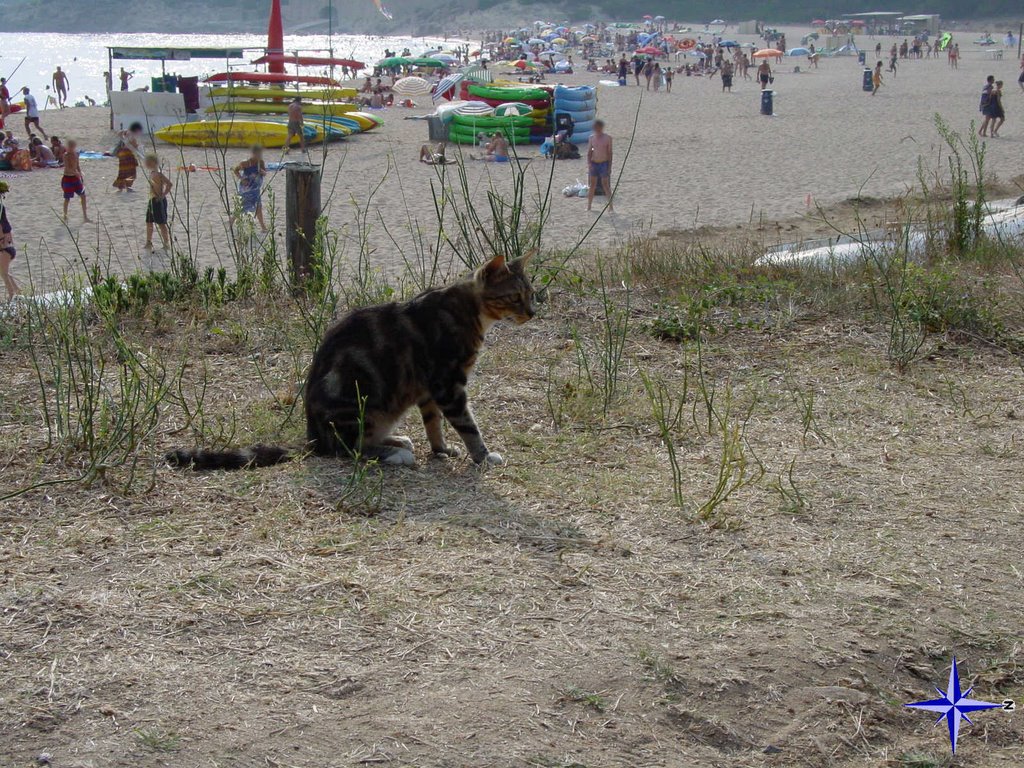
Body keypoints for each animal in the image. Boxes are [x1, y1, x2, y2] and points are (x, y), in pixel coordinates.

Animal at [167, 250, 536, 468]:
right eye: (515, 296)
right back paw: (396, 453)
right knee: (349, 448)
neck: (471, 311)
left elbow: (434, 424)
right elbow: (467, 425)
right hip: (360, 400)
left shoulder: (430, 390)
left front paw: (441, 449)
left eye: (531, 294)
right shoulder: (448, 384)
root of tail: (313, 438)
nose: (533, 312)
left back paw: (395, 440)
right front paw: (483, 455)